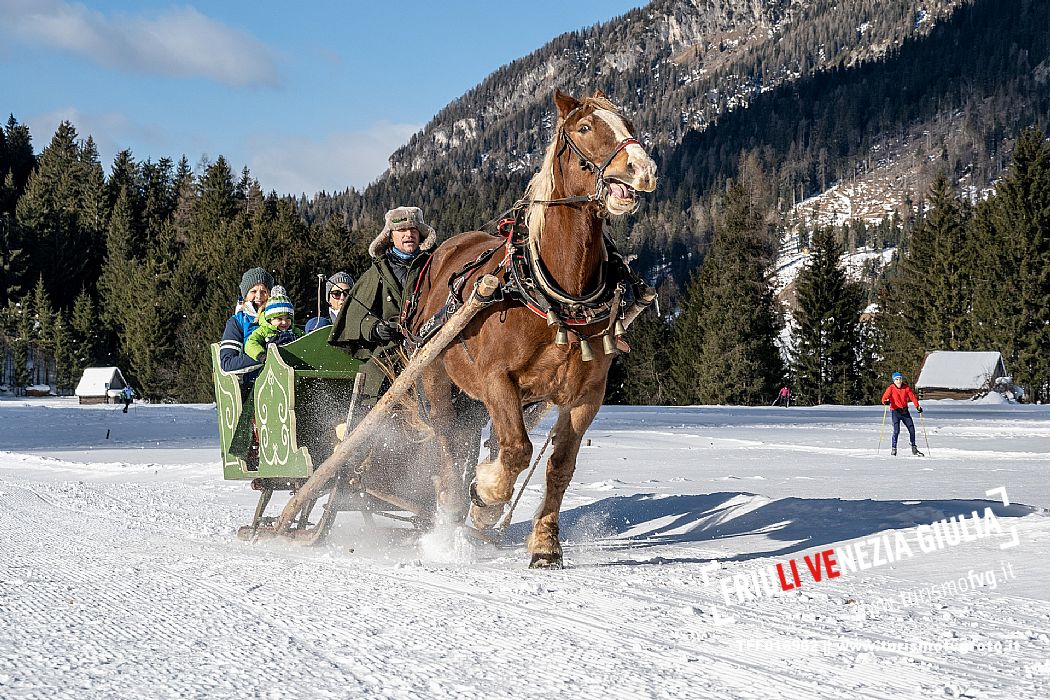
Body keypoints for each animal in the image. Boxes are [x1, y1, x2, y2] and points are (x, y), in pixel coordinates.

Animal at [409, 89, 655, 570]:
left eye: (629, 123)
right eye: (584, 128)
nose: (643, 169)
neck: (561, 295)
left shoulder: (587, 394)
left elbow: (558, 465)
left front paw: (544, 544)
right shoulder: (497, 379)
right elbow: (517, 450)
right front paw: (485, 496)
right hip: (437, 379)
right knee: (448, 447)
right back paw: (452, 516)